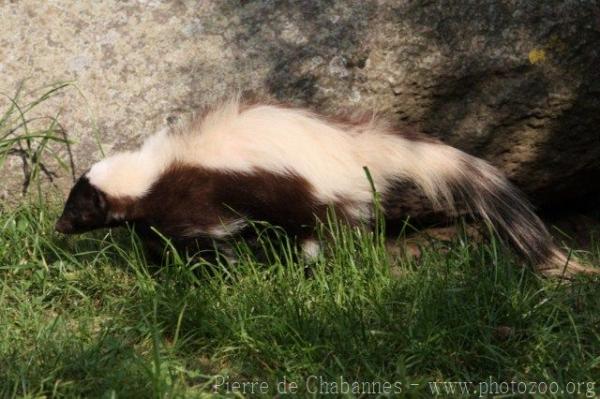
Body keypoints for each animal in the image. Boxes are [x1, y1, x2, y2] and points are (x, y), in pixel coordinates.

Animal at [56, 98, 596, 276]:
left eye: (79, 208)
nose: (58, 227)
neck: (151, 170)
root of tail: (356, 149)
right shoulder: (159, 209)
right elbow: (156, 238)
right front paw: (159, 267)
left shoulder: (197, 197)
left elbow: (207, 240)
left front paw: (217, 272)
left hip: (315, 194)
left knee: (328, 231)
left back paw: (307, 264)